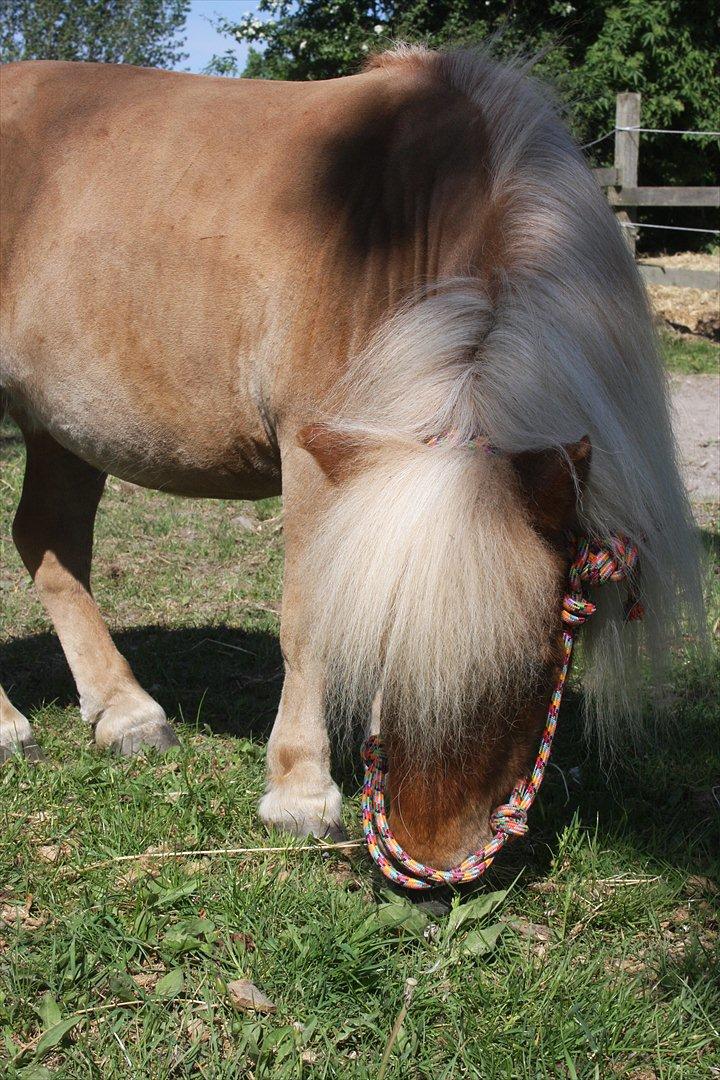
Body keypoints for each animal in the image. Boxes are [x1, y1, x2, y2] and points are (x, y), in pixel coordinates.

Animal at [0, 48, 699, 868]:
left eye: (538, 658)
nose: (430, 854)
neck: (402, 227)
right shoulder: (316, 455)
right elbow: (308, 618)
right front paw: (301, 794)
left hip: (63, 424)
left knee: (48, 540)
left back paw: (126, 714)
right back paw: (11, 727)